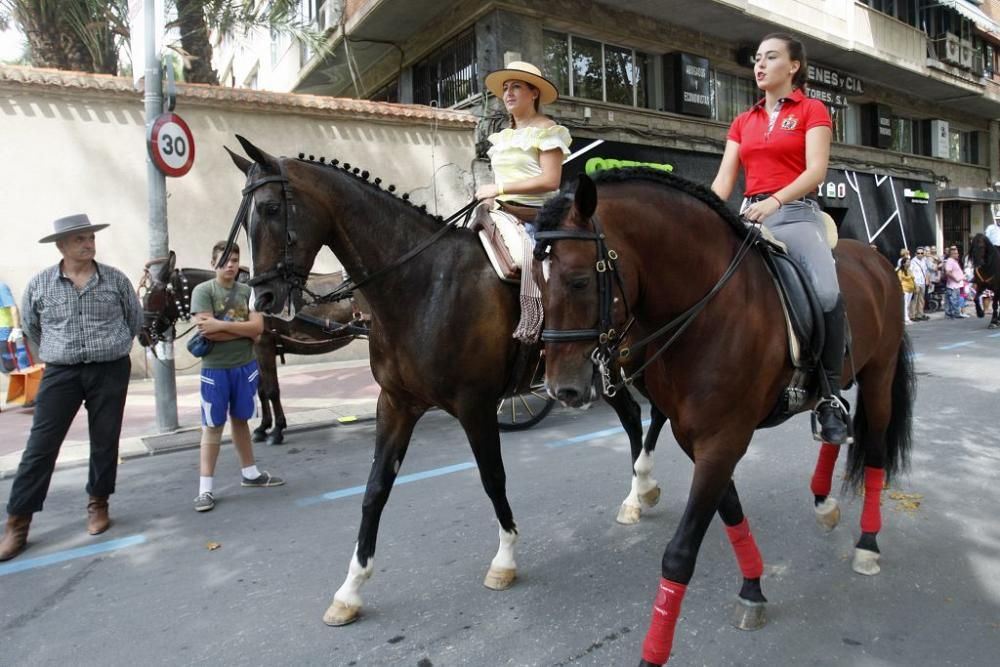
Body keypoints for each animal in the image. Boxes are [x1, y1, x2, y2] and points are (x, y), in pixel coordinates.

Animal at [135, 250, 366, 444]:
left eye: (152, 296)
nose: (142, 335)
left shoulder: (264, 346)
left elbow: (272, 390)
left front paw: (277, 430)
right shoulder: (255, 352)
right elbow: (261, 390)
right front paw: (263, 428)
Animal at [221, 138, 672, 628]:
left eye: (269, 208)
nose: (262, 299)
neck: (422, 285)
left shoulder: (475, 406)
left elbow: (493, 478)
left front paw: (504, 560)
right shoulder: (396, 404)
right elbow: (375, 490)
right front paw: (351, 589)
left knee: (649, 413)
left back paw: (642, 487)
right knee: (634, 414)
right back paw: (639, 493)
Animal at [532, 168, 916, 667]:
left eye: (578, 280)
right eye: (533, 283)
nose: (562, 388)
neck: (707, 309)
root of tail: (877, 259)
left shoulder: (723, 438)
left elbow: (680, 552)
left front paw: (653, 653)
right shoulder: (697, 438)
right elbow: (730, 512)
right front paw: (753, 588)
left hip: (878, 375)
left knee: (873, 453)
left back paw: (867, 544)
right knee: (839, 424)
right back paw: (824, 501)